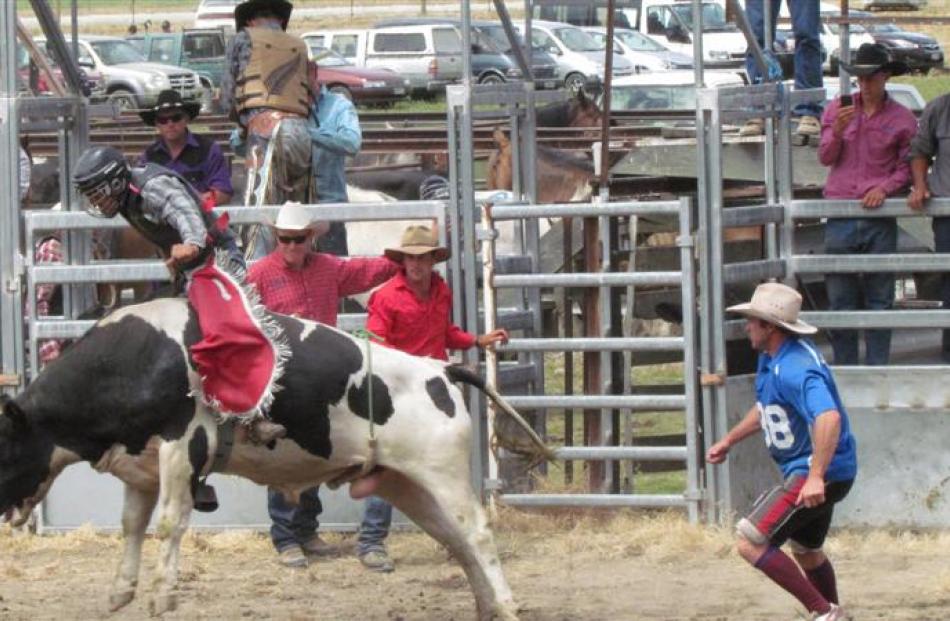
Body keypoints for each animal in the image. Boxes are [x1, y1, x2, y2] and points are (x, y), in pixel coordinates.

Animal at [0, 298, 552, 616]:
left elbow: (170, 522)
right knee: (454, 539)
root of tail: (440, 370)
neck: (138, 354)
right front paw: (121, 591)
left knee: (477, 533)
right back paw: (486, 607)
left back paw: (506, 605)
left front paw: (162, 594)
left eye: (5, 451)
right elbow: (133, 525)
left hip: (444, 474)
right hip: (406, 483)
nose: (4, 513)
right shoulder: (140, 467)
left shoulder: (186, 444)